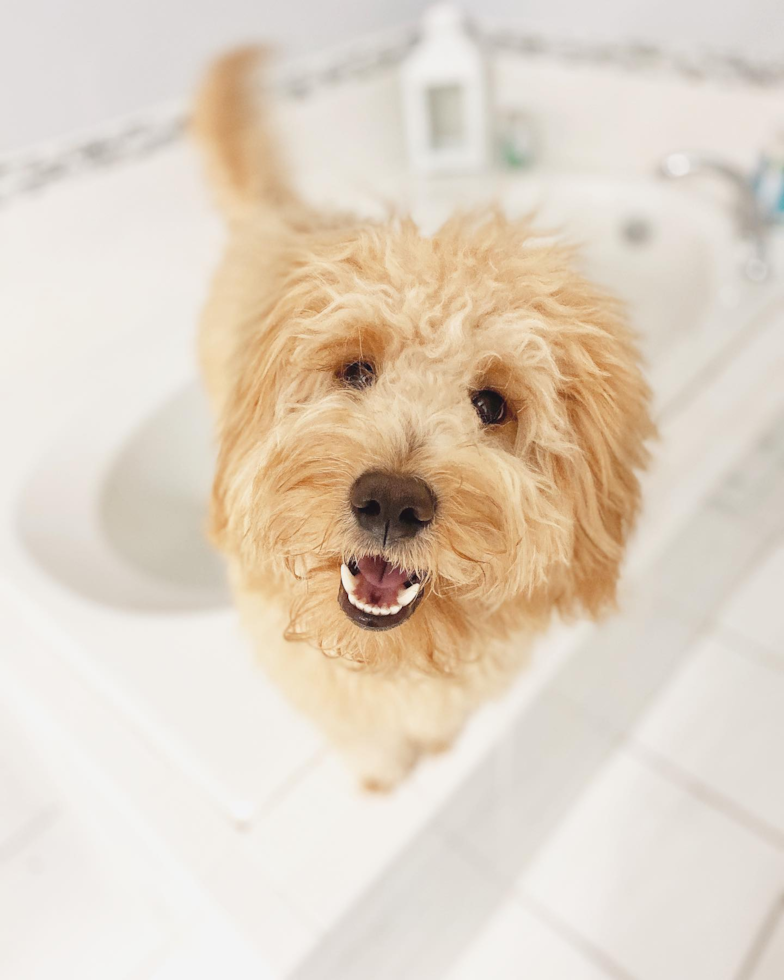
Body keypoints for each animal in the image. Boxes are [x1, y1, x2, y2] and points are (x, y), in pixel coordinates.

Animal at [193, 49, 652, 792]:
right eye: (356, 371)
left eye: (492, 405)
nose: (390, 501)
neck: (395, 652)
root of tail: (278, 212)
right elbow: (364, 740)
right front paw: (383, 775)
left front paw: (435, 746)